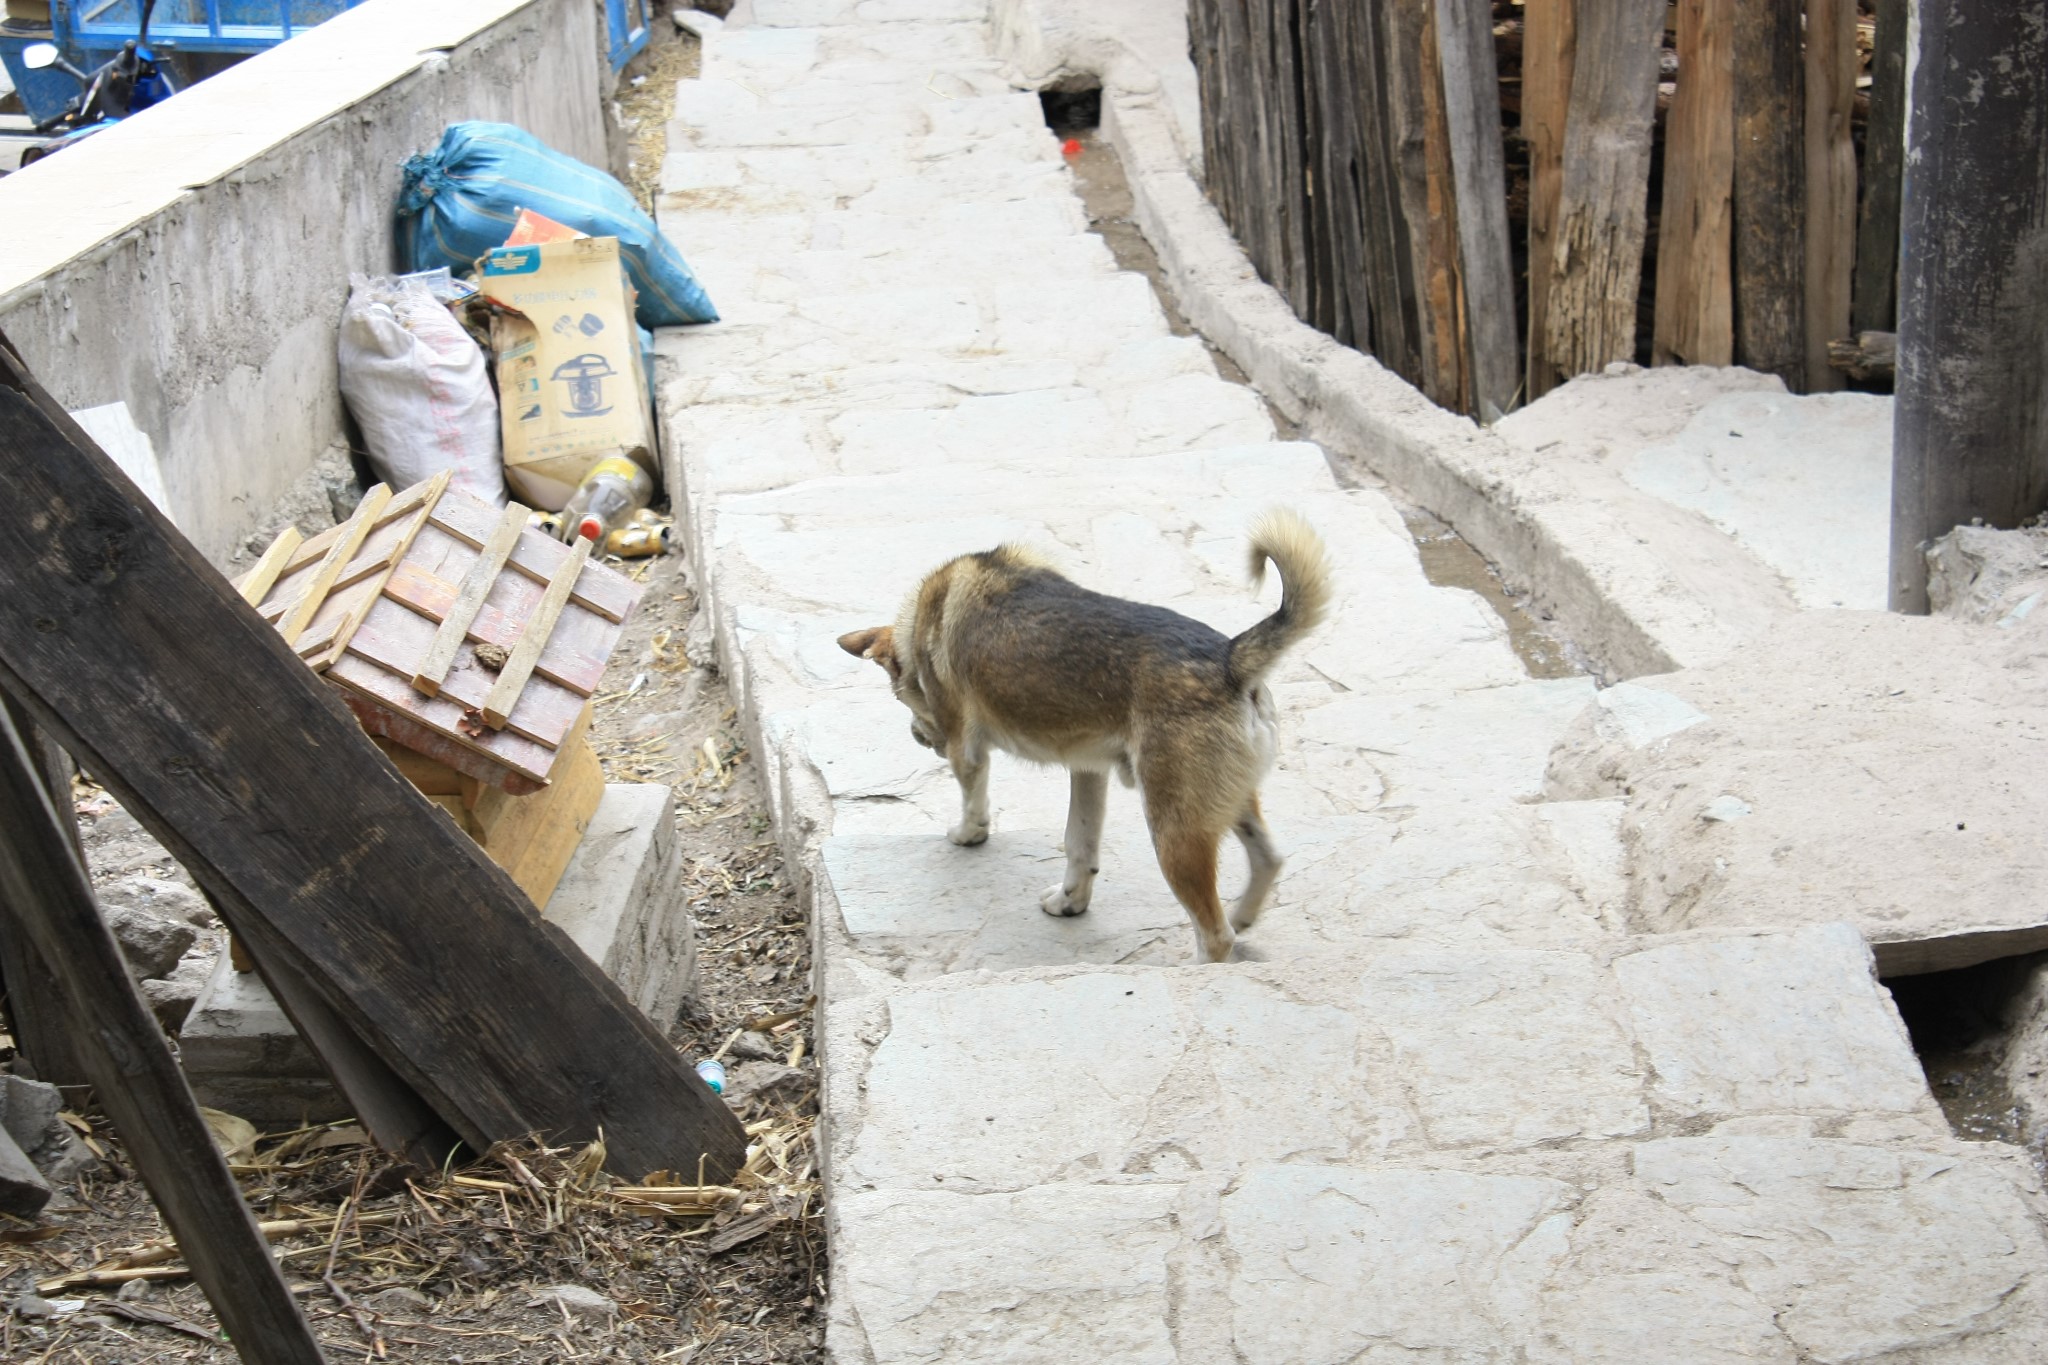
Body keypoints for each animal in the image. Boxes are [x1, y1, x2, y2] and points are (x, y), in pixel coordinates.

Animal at [839, 507, 1335, 965]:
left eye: (902, 699)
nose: (917, 736)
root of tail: (1230, 659)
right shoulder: (1089, 771)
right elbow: (1079, 845)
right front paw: (1070, 901)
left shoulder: (967, 750)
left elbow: (973, 802)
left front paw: (968, 833)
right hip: (1223, 804)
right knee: (1268, 861)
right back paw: (1242, 915)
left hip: (1174, 834)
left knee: (1214, 937)